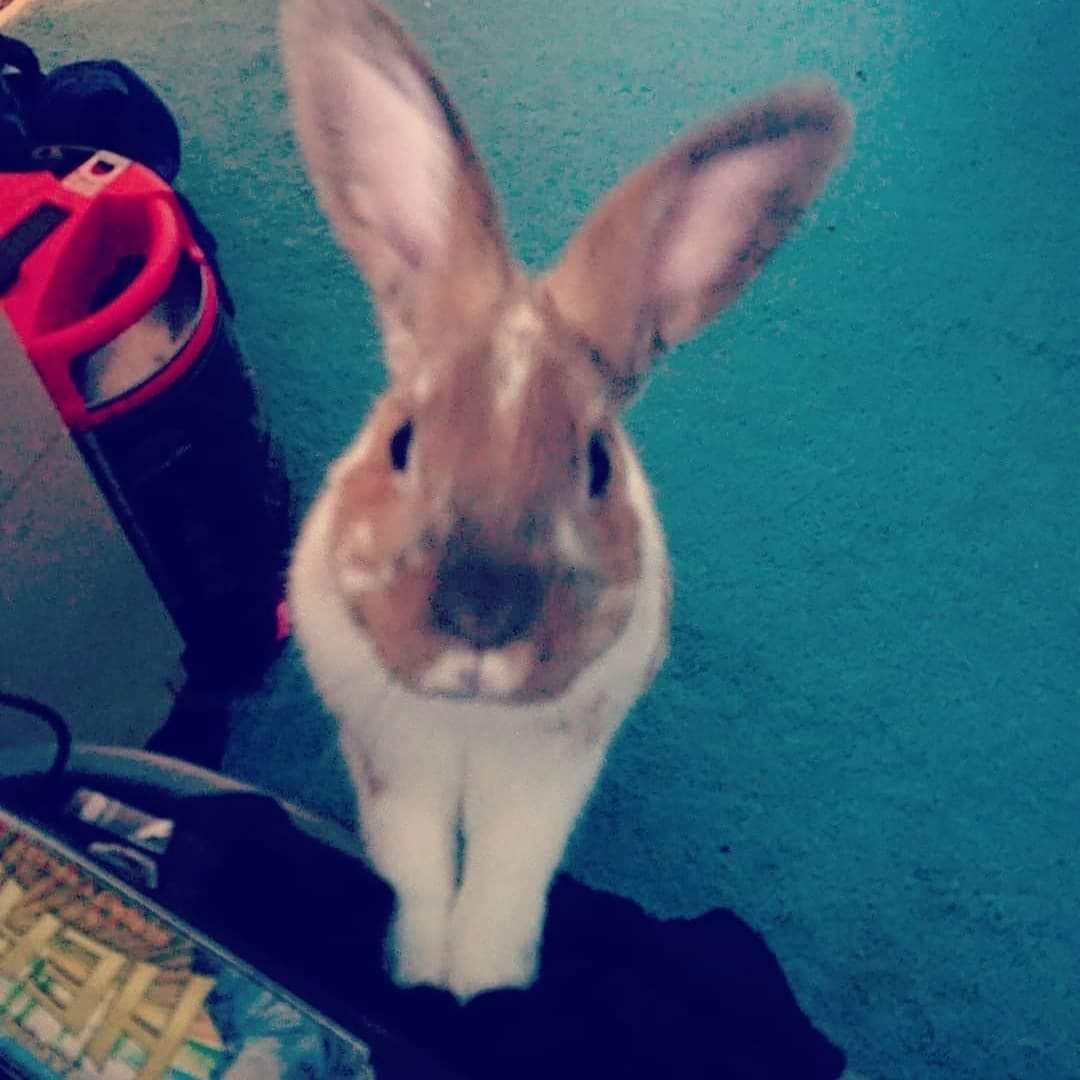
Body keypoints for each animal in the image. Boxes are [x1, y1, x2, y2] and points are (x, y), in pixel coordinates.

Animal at [281, 0, 852, 1002]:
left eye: (596, 463)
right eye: (402, 441)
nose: (481, 614)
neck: (470, 722)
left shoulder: (551, 773)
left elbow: (506, 877)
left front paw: (482, 989)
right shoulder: (391, 761)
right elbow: (415, 872)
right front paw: (421, 978)